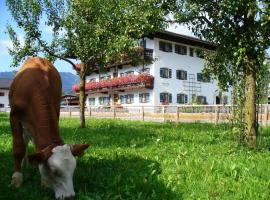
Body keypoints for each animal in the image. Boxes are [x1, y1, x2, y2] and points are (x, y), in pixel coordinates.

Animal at [8, 57, 89, 199]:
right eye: (54, 171)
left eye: (73, 169)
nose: (69, 196)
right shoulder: (14, 115)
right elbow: (18, 149)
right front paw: (16, 180)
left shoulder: (55, 111)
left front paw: (44, 181)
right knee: (24, 141)